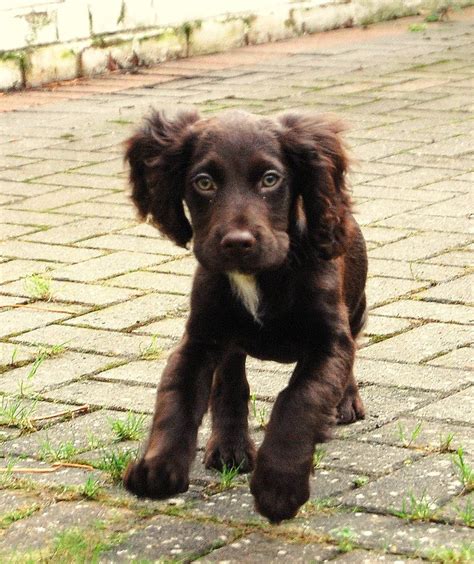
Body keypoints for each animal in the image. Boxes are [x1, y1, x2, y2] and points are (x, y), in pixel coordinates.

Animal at [122, 108, 366, 524]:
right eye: (203, 183)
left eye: (270, 179)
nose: (237, 243)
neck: (260, 277)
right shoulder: (200, 339)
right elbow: (177, 398)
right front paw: (158, 468)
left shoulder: (328, 340)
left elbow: (299, 400)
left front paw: (278, 487)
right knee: (231, 380)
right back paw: (229, 447)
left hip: (357, 306)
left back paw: (346, 403)